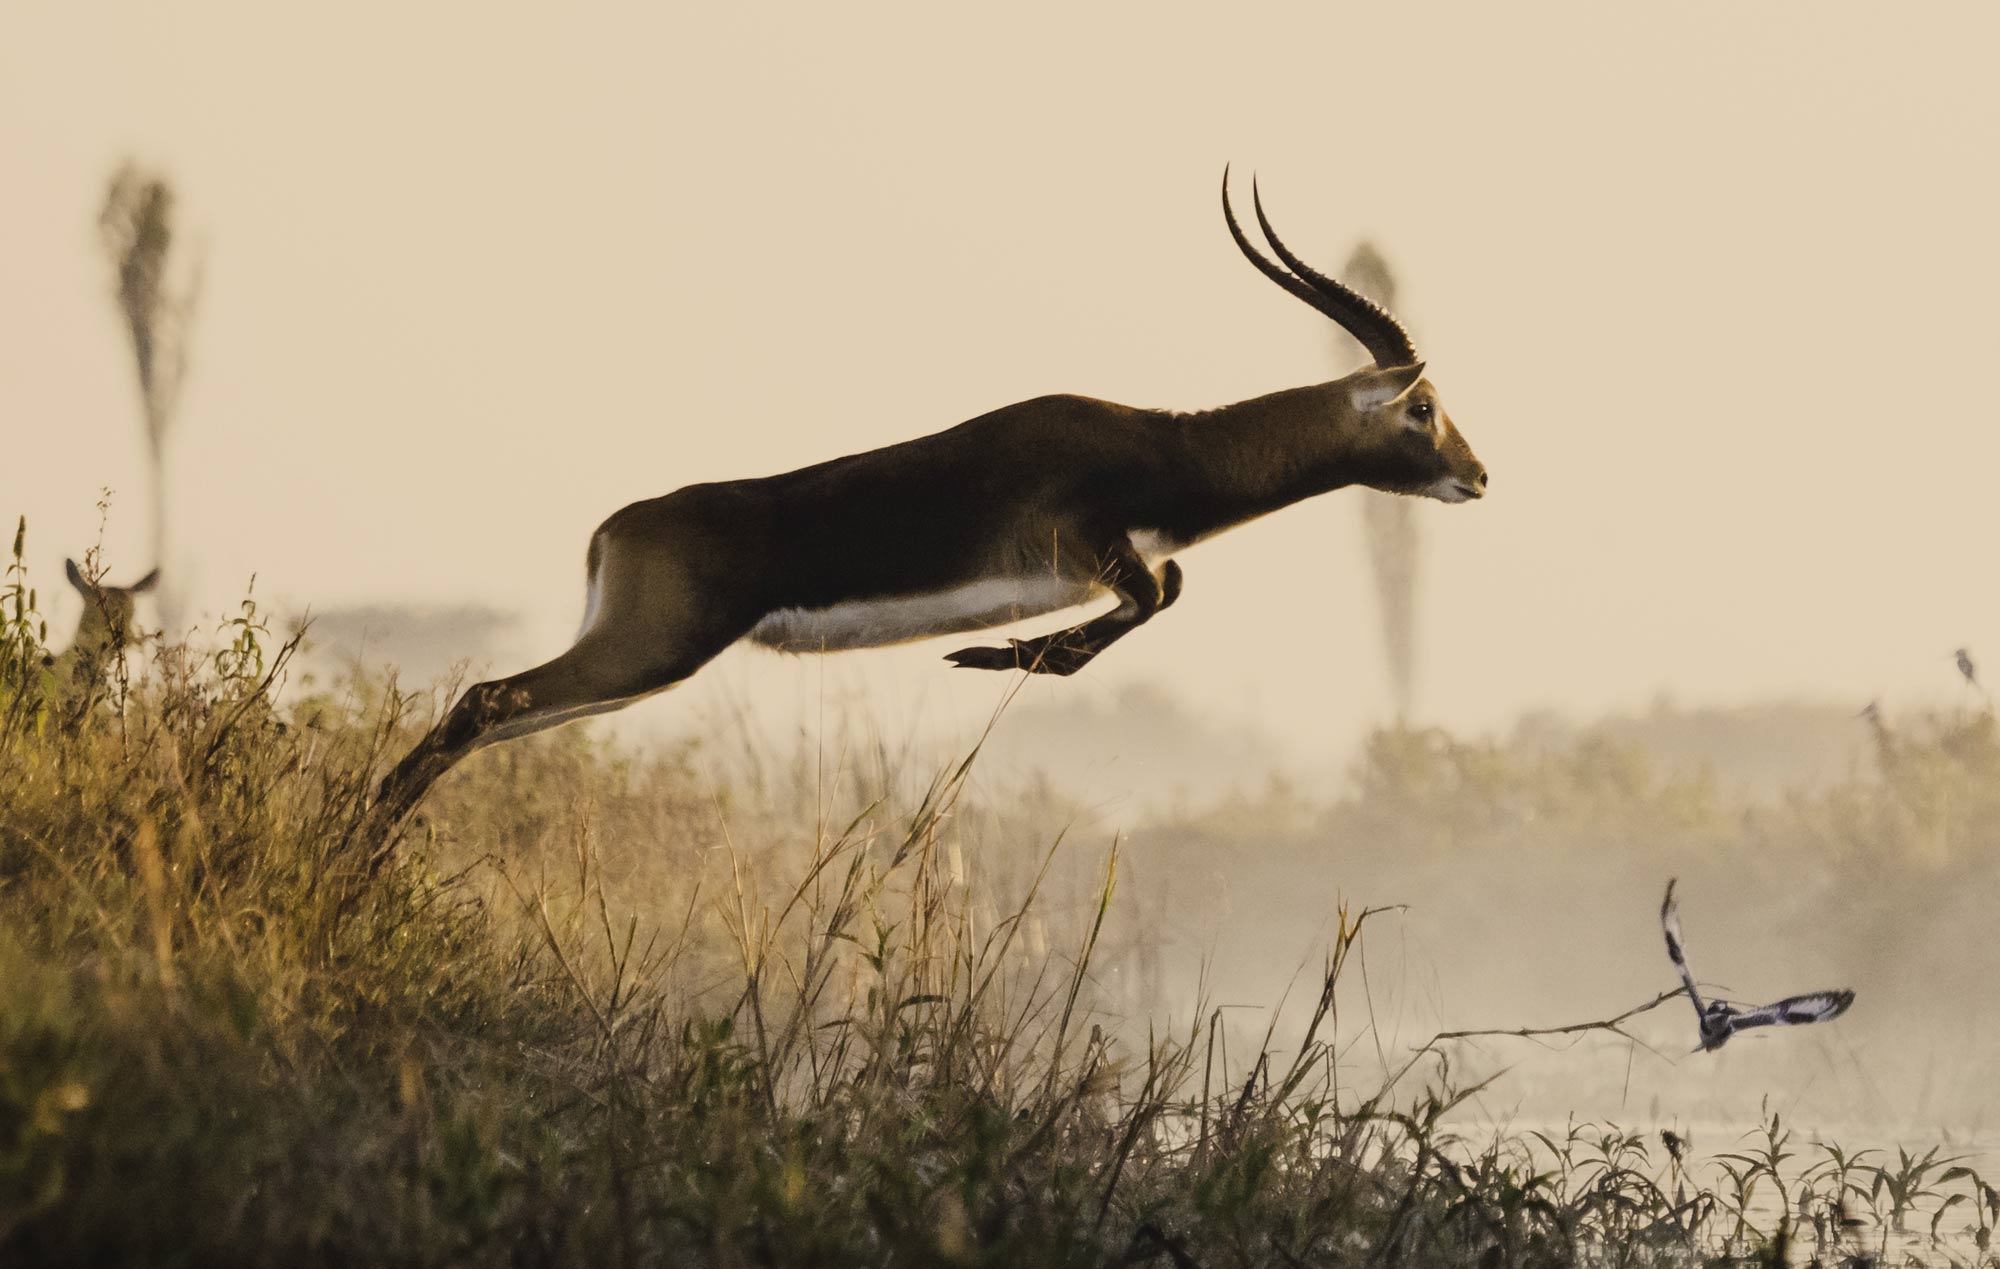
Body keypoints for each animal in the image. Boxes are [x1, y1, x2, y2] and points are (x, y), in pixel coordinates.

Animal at [372, 173, 1488, 824]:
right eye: (1423, 405)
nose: (1478, 476)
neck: (1160, 445)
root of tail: (614, 528)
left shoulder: (1117, 560)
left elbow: (1162, 591)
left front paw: (998, 654)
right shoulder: (1089, 551)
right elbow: (1151, 596)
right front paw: (989, 654)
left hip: (629, 667)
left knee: (485, 717)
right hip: (649, 651)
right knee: (482, 700)